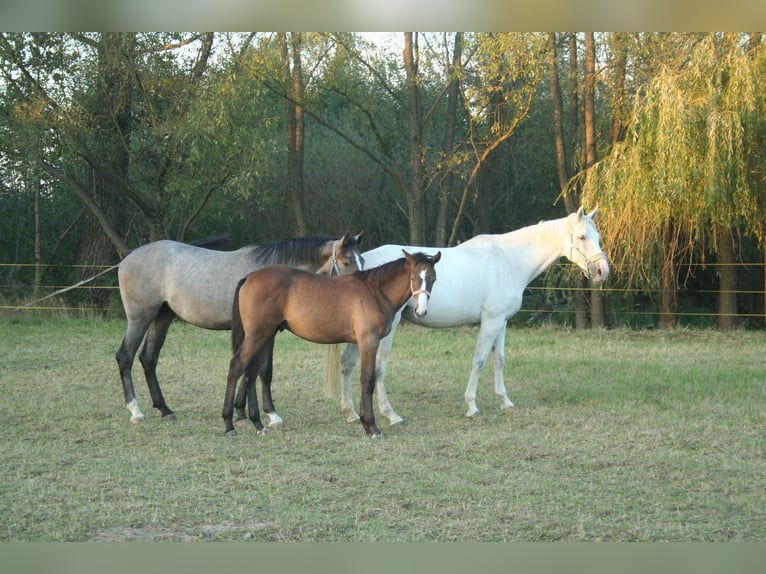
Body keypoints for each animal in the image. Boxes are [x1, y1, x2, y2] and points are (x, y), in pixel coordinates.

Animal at [332, 209, 612, 426]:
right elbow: (479, 360)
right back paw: (390, 415)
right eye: (581, 236)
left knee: (348, 362)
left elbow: (499, 360)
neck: (508, 260)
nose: (602, 271)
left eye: (597, 236)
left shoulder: (501, 322)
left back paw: (350, 413)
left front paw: (505, 401)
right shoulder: (490, 321)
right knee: (378, 368)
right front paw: (471, 406)